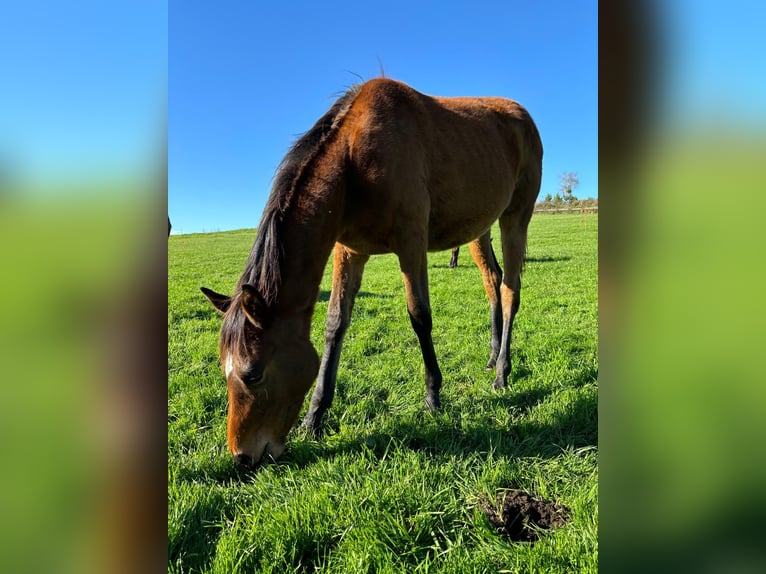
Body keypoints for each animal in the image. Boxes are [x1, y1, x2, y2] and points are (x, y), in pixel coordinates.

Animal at [201, 79, 544, 470]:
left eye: (253, 373)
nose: (242, 457)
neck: (354, 163)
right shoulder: (349, 251)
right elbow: (335, 324)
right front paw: (314, 417)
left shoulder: (411, 242)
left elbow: (420, 317)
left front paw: (433, 396)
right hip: (479, 228)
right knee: (492, 282)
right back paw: (492, 355)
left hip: (516, 217)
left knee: (510, 290)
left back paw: (502, 371)